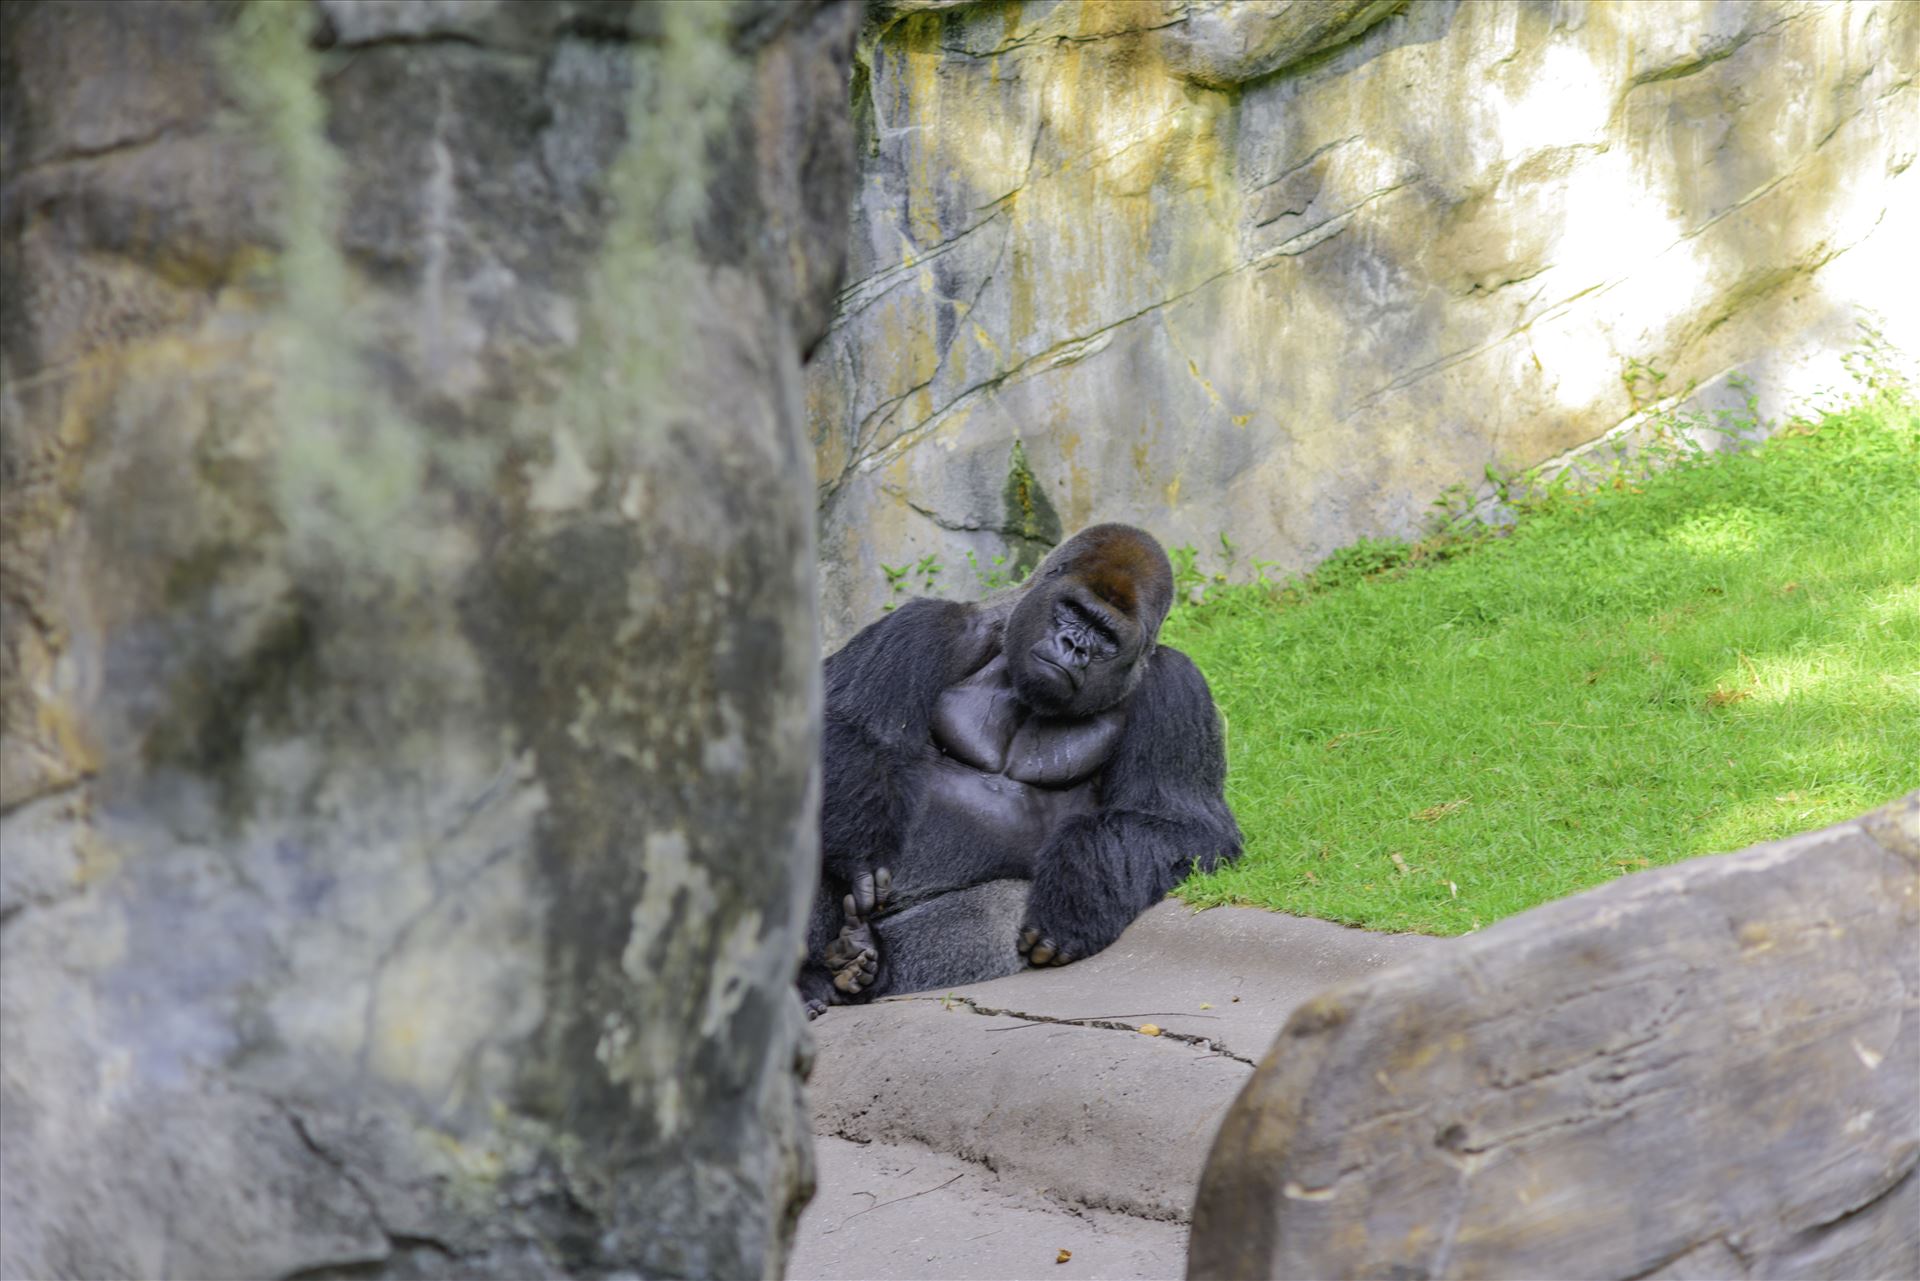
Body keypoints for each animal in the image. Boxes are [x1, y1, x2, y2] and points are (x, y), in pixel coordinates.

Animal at [798, 518, 1236, 1014]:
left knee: (1000, 909)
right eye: (1072, 612)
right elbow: (851, 729)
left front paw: (1076, 894)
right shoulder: (926, 625)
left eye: (1106, 636)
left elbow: (1179, 824)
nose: (1074, 647)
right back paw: (809, 978)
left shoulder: (1177, 687)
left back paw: (869, 962)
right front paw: (862, 850)